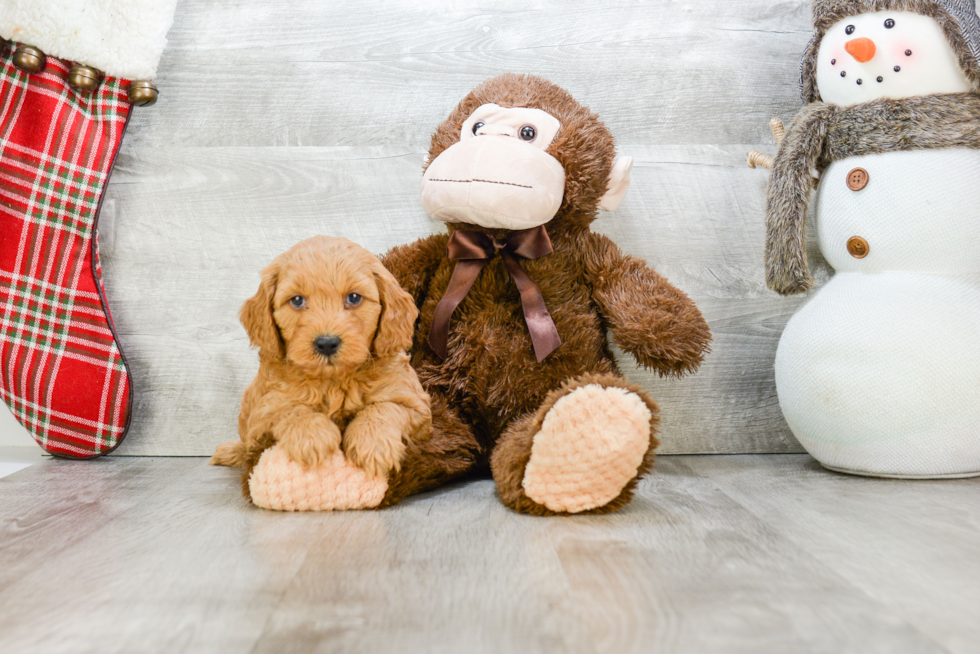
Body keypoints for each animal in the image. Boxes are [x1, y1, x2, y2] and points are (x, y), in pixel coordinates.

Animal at [211, 237, 428, 482]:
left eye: (354, 298)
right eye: (297, 300)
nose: (326, 343)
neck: (334, 381)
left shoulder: (416, 406)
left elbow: (385, 407)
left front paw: (373, 445)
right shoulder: (262, 413)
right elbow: (289, 410)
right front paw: (312, 438)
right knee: (246, 446)